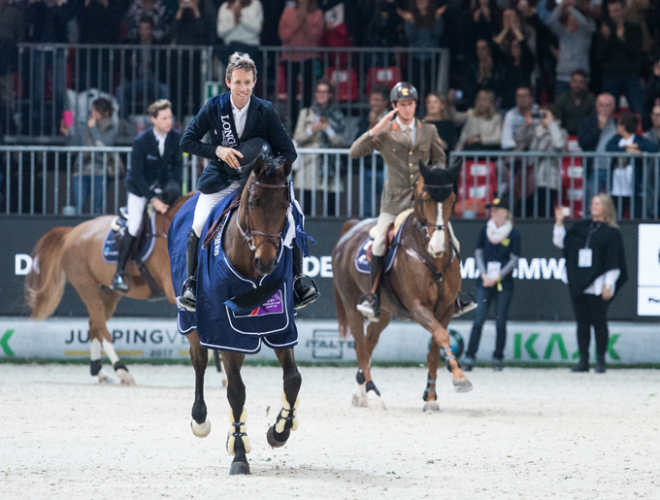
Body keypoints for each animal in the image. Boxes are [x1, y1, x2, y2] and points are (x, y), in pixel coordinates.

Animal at [24, 193, 194, 385]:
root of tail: (71, 232)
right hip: (87, 288)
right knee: (102, 330)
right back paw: (122, 371)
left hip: (109, 293)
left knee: (94, 326)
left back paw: (99, 371)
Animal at [180, 156, 302, 476]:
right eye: (253, 204)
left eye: (286, 206)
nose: (267, 262)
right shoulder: (225, 332)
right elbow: (236, 390)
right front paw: (238, 454)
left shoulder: (281, 327)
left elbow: (293, 379)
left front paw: (279, 430)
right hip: (193, 324)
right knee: (199, 361)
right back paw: (200, 419)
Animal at [331, 161, 473, 412]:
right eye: (425, 199)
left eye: (453, 198)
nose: (438, 246)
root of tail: (350, 231)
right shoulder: (418, 307)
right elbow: (442, 335)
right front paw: (459, 378)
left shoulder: (446, 309)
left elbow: (434, 349)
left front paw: (431, 398)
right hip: (351, 306)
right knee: (360, 346)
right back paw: (373, 394)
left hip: (385, 312)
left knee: (368, 343)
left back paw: (361, 393)